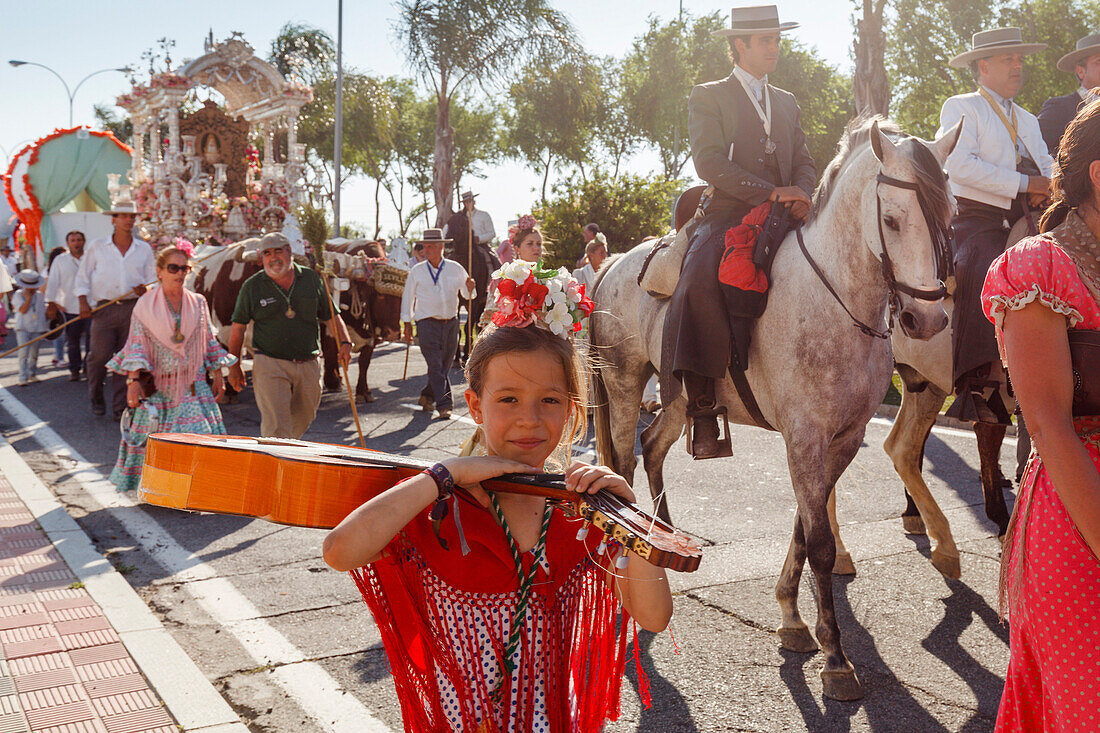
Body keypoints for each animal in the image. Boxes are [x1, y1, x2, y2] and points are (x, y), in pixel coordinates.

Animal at [589, 117, 959, 699]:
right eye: (893, 220)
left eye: (949, 217)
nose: (927, 321)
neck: (834, 301)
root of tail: (610, 266)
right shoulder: (804, 436)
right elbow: (821, 542)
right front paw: (836, 658)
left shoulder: (843, 438)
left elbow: (807, 529)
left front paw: (791, 617)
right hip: (624, 383)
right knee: (622, 465)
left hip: (678, 397)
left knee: (652, 448)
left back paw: (664, 544)